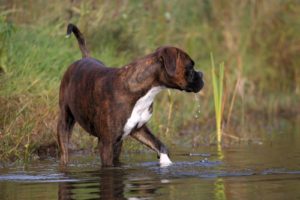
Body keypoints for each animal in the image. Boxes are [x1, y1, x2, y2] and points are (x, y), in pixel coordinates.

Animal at [57, 23, 204, 167]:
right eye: (190, 67)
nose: (202, 74)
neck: (141, 91)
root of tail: (85, 58)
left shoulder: (138, 129)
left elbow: (160, 145)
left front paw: (165, 161)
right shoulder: (106, 144)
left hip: (118, 144)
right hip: (64, 125)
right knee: (64, 153)